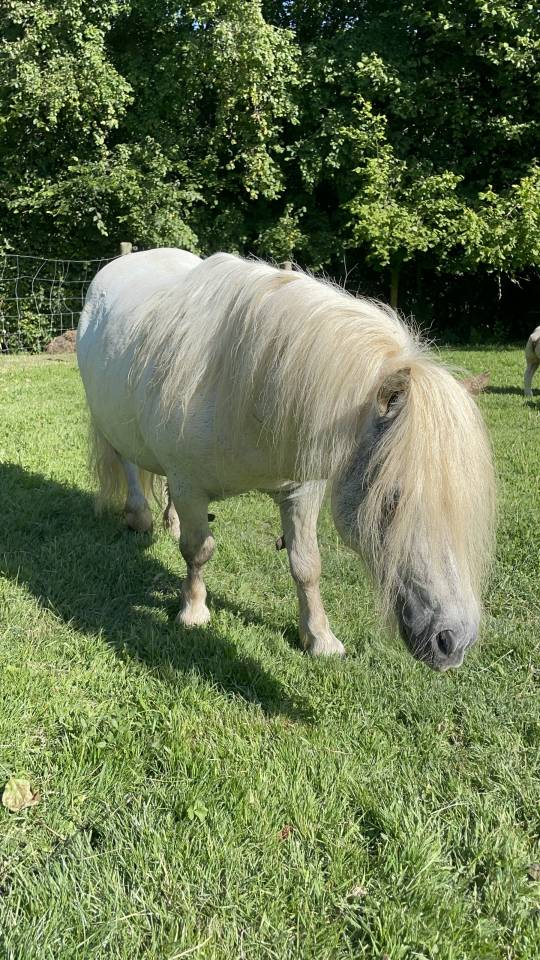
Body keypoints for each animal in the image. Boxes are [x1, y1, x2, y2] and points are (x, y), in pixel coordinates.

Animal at [76, 249, 495, 671]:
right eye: (393, 499)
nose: (453, 641)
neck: (244, 387)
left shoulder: (301, 491)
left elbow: (307, 564)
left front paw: (320, 638)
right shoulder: (190, 487)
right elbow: (198, 550)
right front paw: (193, 612)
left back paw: (170, 521)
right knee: (129, 463)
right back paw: (139, 516)